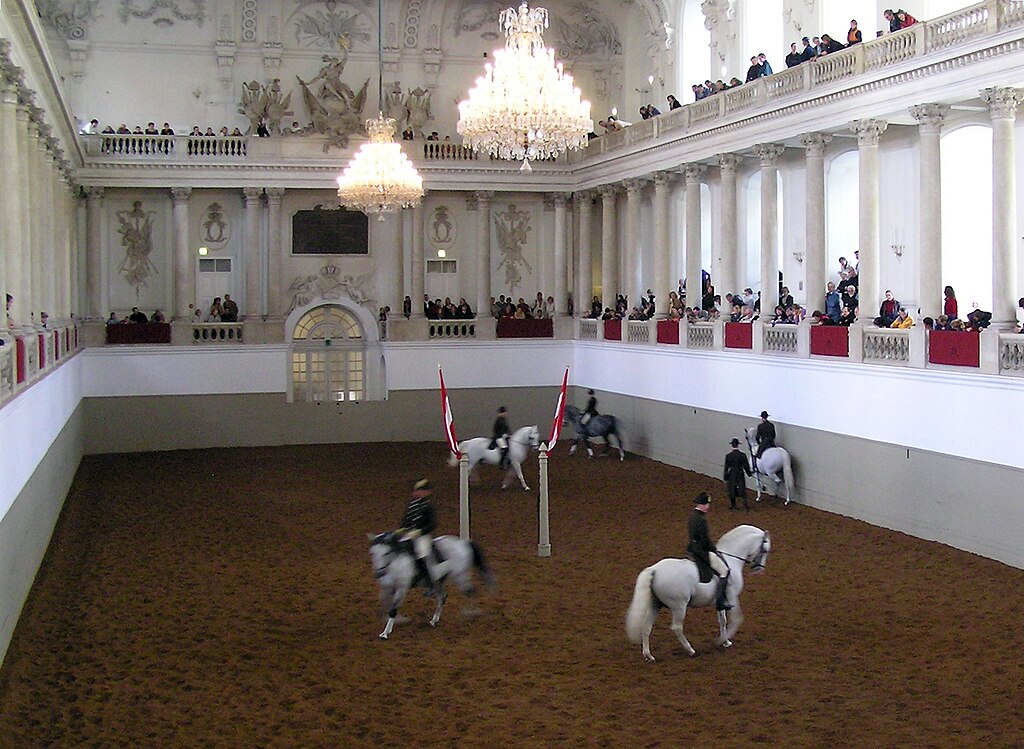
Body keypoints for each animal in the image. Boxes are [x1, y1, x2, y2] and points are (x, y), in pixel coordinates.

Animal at [618, 528, 770, 663]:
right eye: (765, 550)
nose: (759, 569)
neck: (730, 559)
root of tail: (654, 570)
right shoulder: (732, 596)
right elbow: (737, 619)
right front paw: (721, 641)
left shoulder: (721, 601)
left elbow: (722, 620)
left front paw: (726, 641)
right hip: (679, 606)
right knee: (677, 627)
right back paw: (690, 650)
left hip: (655, 604)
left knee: (646, 627)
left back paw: (649, 656)